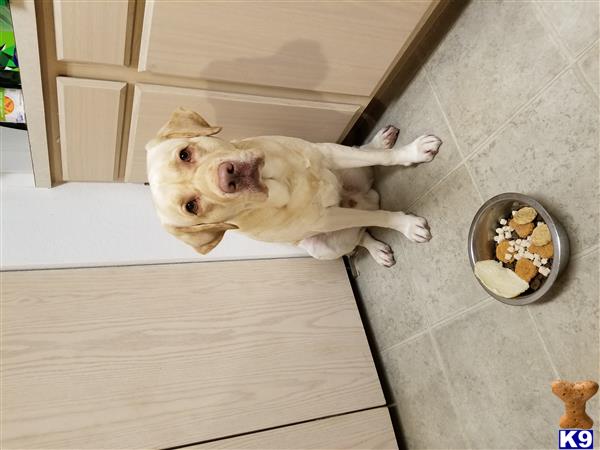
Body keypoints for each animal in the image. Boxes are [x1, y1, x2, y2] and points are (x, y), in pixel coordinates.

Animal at [145, 107, 440, 266]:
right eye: (192, 206)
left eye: (184, 154)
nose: (228, 177)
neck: (282, 178)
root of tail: (364, 197)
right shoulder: (326, 218)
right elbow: (379, 217)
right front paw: (406, 225)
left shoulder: (327, 153)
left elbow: (385, 158)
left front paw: (412, 151)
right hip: (322, 247)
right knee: (360, 233)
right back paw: (376, 249)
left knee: (366, 154)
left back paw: (379, 142)